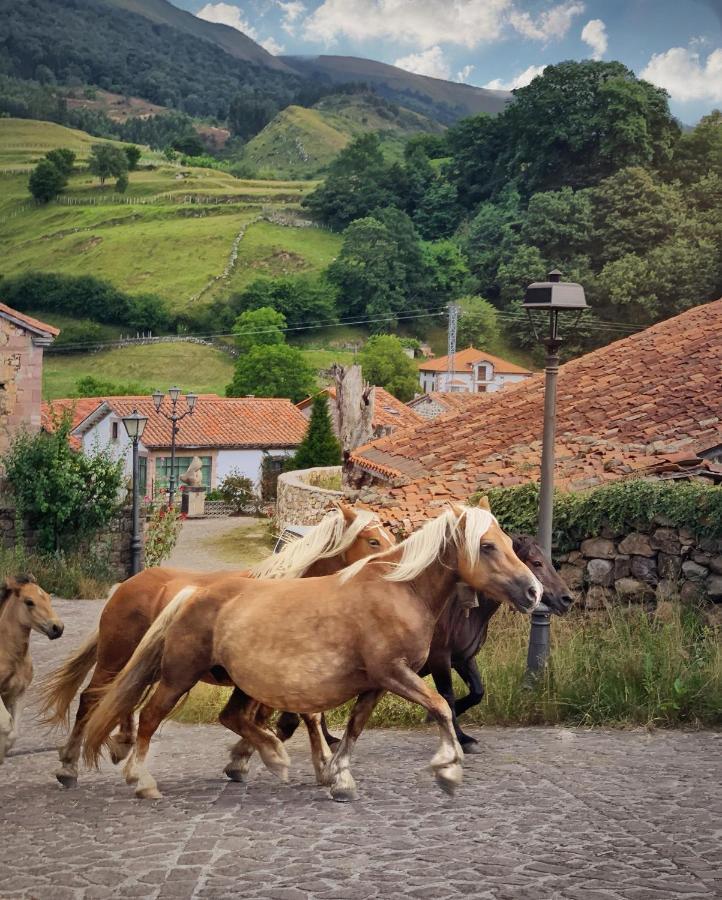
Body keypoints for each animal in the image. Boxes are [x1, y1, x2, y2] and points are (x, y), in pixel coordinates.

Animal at [0, 572, 63, 764]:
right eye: (29, 602)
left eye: (49, 598)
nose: (57, 628)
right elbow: (6, 723)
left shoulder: (19, 693)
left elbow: (13, 732)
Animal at [40, 506, 388, 788]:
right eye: (373, 541)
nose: (393, 571)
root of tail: (126, 585)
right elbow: (294, 718)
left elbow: (292, 718)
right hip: (116, 658)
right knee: (91, 698)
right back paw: (69, 765)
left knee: (124, 697)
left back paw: (122, 743)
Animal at [81, 506, 536, 800]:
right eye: (488, 546)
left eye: (508, 543)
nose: (533, 592)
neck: (398, 591)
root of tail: (192, 593)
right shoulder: (395, 673)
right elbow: (441, 706)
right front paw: (448, 770)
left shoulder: (377, 682)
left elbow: (351, 727)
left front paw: (339, 778)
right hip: (176, 674)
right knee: (141, 715)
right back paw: (137, 779)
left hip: (232, 681)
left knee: (227, 716)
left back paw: (269, 758)